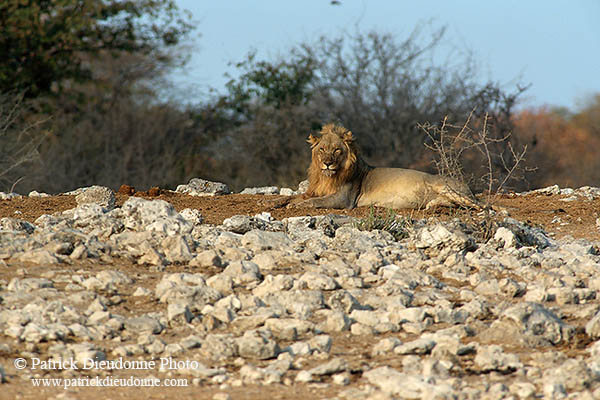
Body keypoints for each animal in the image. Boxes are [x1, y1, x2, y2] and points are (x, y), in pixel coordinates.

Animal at [288, 123, 480, 211]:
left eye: (336, 150)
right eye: (322, 149)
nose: (327, 163)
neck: (327, 177)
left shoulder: (344, 199)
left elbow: (316, 201)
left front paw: (296, 206)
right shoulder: (315, 191)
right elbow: (298, 197)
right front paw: (290, 202)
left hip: (445, 187)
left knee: (480, 205)